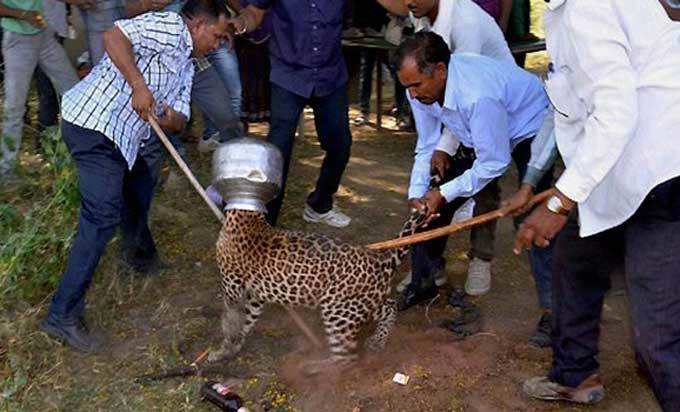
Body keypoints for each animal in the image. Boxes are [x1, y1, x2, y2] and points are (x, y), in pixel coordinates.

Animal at [207, 209, 422, 370]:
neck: (248, 216)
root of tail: (381, 260)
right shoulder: (255, 296)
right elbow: (245, 321)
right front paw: (234, 347)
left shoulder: (232, 287)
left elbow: (230, 321)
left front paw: (221, 351)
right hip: (360, 303)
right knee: (391, 305)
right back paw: (377, 340)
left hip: (337, 310)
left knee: (346, 359)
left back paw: (313, 368)